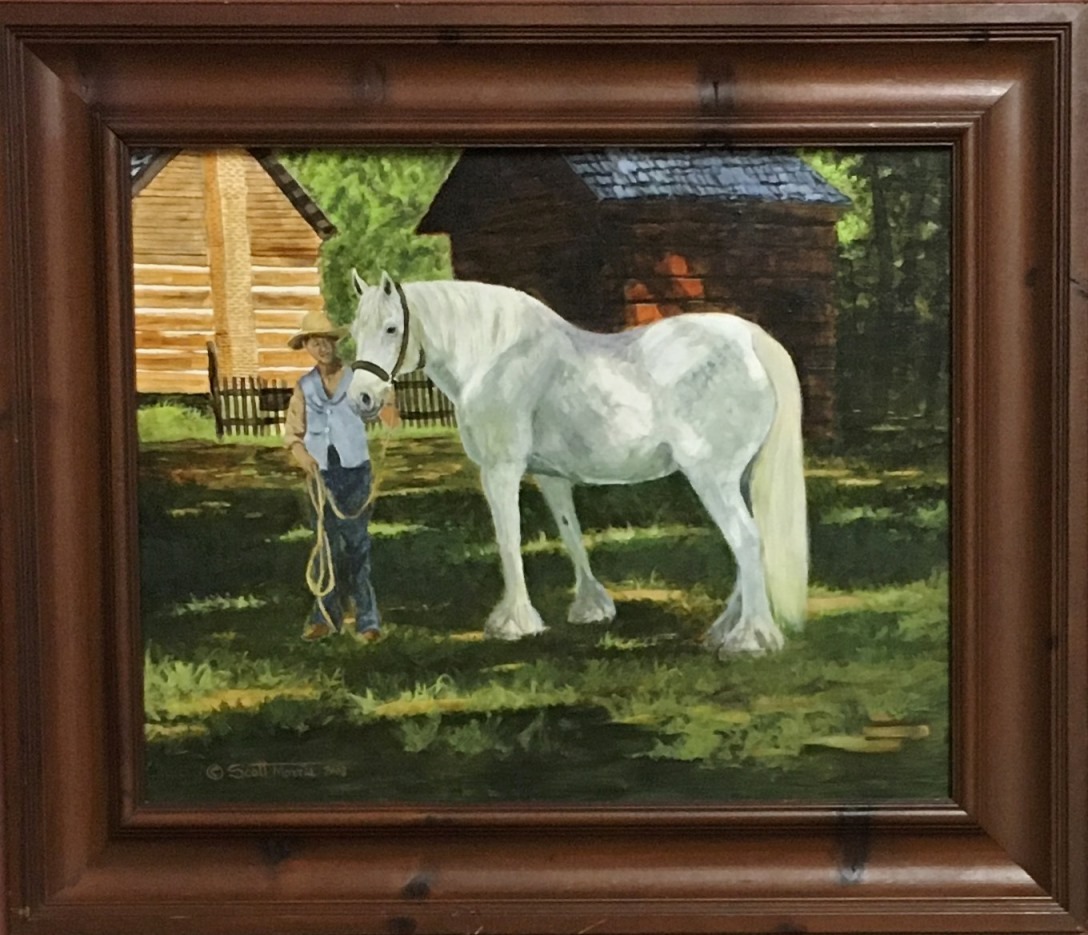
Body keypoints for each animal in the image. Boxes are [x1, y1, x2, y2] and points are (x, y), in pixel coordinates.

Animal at [348, 271, 809, 653]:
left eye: (391, 328)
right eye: (355, 330)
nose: (361, 399)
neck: (496, 356)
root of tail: (752, 341)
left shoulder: (500, 470)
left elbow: (508, 540)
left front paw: (514, 622)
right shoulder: (550, 476)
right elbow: (570, 532)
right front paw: (592, 608)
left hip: (711, 476)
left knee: (746, 539)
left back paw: (750, 639)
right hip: (740, 478)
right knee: (751, 543)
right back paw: (725, 628)